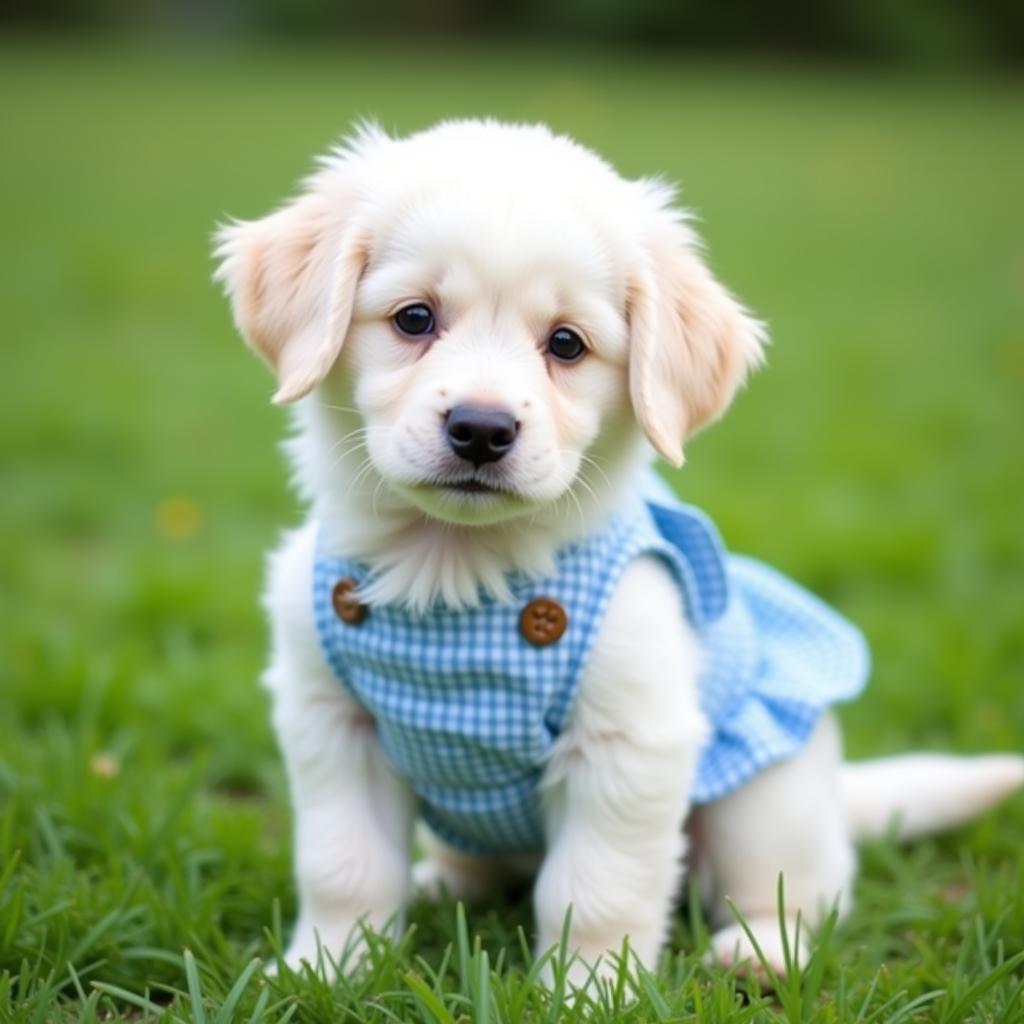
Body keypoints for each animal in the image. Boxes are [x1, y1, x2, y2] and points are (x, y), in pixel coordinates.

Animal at [216, 119, 1024, 983]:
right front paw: (325, 970)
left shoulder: (630, 743)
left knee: (801, 891)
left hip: (767, 799)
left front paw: (588, 988)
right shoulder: (331, 722)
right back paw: (443, 882)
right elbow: (344, 868)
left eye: (567, 344)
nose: (481, 429)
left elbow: (595, 889)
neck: (455, 570)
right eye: (413, 319)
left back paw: (761, 953)